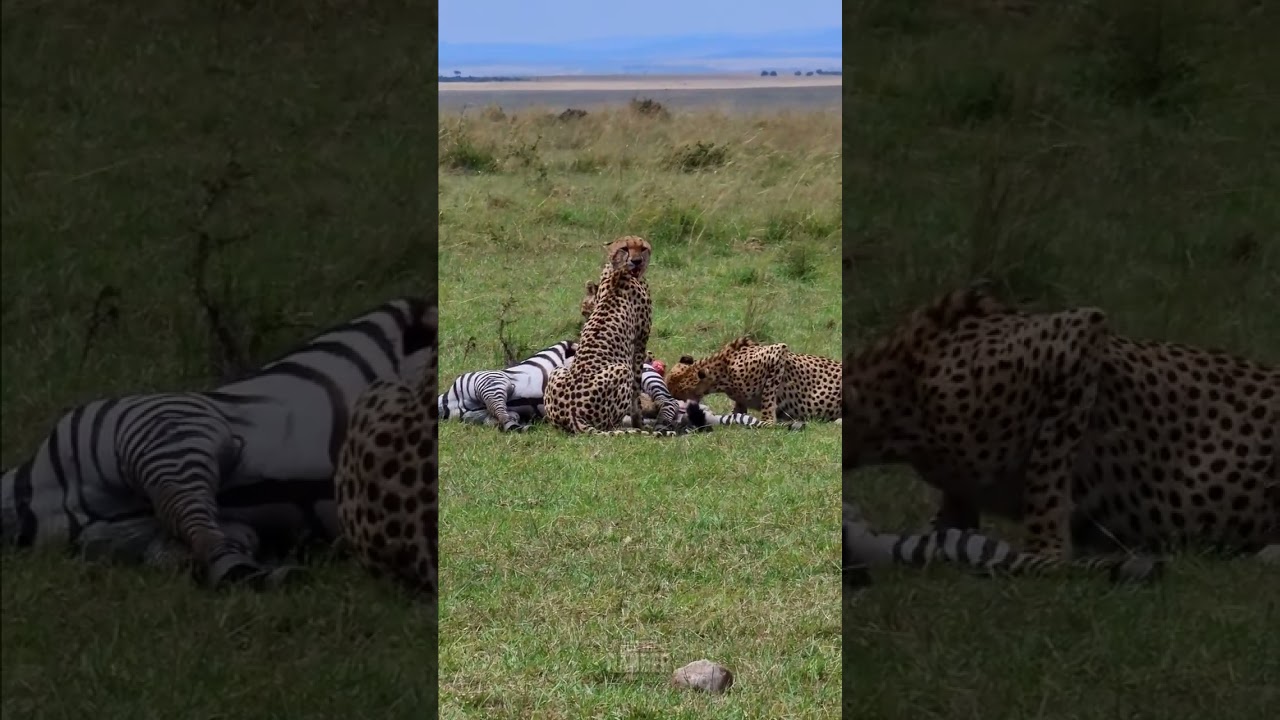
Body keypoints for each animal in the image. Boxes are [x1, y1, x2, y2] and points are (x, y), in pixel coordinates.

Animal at [544, 236, 689, 436]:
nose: (636, 261)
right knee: (610, 424)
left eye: (642, 248)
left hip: (557, 371)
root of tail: (573, 414)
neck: (619, 271)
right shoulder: (640, 341)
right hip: (622, 370)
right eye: (625, 248)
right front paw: (639, 423)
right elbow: (636, 387)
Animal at [665, 337, 840, 429]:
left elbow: (768, 396)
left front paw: (768, 420)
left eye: (679, 394)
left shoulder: (777, 353)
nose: (675, 403)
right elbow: (738, 410)